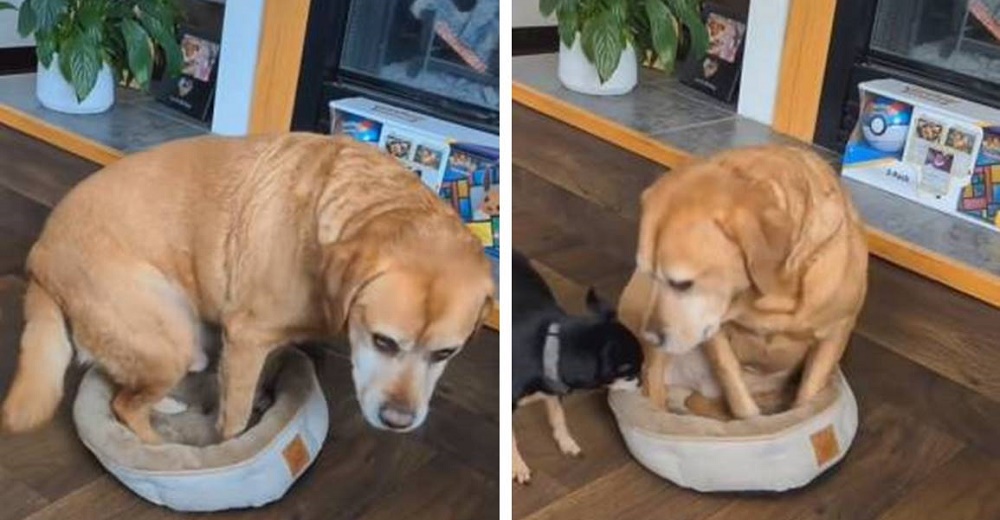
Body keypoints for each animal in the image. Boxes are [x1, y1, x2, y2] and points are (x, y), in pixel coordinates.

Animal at [0, 132, 492, 440]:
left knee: (121, 381)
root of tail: (40, 257)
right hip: (168, 334)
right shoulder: (247, 336)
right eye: (383, 341)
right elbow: (233, 417)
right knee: (125, 405)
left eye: (445, 354)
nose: (398, 421)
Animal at [624, 145, 868, 418]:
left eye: (682, 284)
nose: (649, 336)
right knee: (654, 381)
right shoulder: (714, 331)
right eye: (650, 274)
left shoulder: (834, 335)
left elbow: (808, 394)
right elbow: (732, 380)